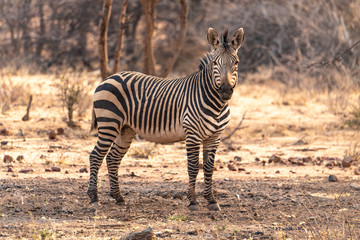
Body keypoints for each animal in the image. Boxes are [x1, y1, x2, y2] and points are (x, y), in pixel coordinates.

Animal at [87, 27, 245, 210]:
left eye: (236, 62)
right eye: (214, 63)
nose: (225, 91)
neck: (217, 104)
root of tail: (109, 77)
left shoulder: (215, 137)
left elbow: (209, 168)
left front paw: (211, 200)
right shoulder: (192, 134)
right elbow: (193, 167)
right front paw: (193, 201)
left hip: (125, 129)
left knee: (113, 158)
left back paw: (118, 197)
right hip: (109, 124)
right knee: (96, 156)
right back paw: (94, 197)